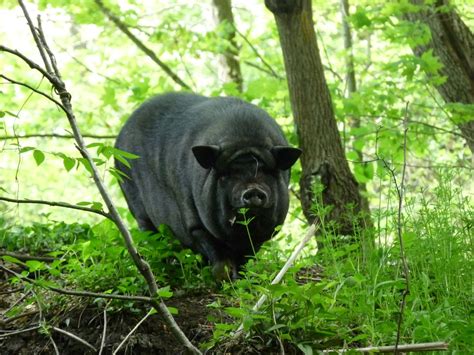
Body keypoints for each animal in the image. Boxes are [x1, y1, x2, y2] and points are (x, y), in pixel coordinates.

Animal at [115, 92, 300, 280]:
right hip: (134, 200)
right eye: (225, 175)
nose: (252, 189)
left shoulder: (264, 233)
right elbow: (214, 251)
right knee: (151, 234)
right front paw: (222, 277)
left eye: (267, 171)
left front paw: (241, 278)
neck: (243, 140)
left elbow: (246, 257)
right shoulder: (194, 224)